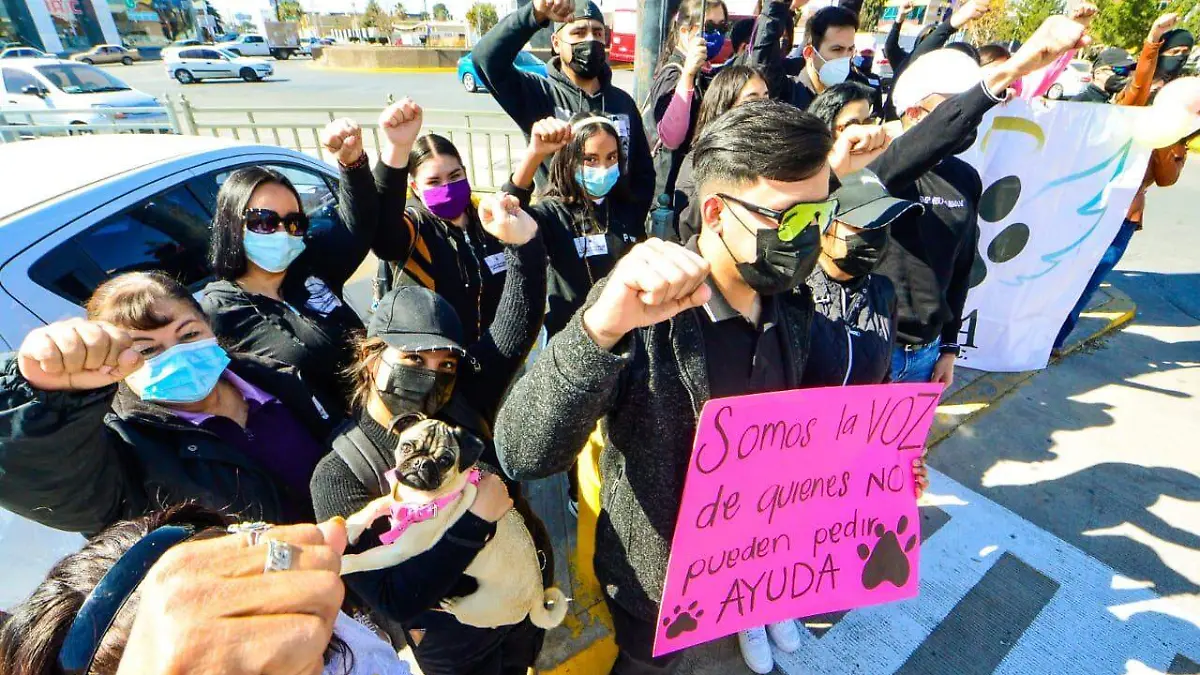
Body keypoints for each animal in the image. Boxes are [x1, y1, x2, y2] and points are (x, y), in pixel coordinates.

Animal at [343, 413, 566, 629]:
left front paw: (344, 563)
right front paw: (353, 525)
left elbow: (367, 558)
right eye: (407, 447)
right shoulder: (398, 500)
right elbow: (376, 504)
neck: (419, 499)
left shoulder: (399, 551)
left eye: (445, 461)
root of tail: (537, 595)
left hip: (477, 607)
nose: (421, 463)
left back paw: (452, 606)